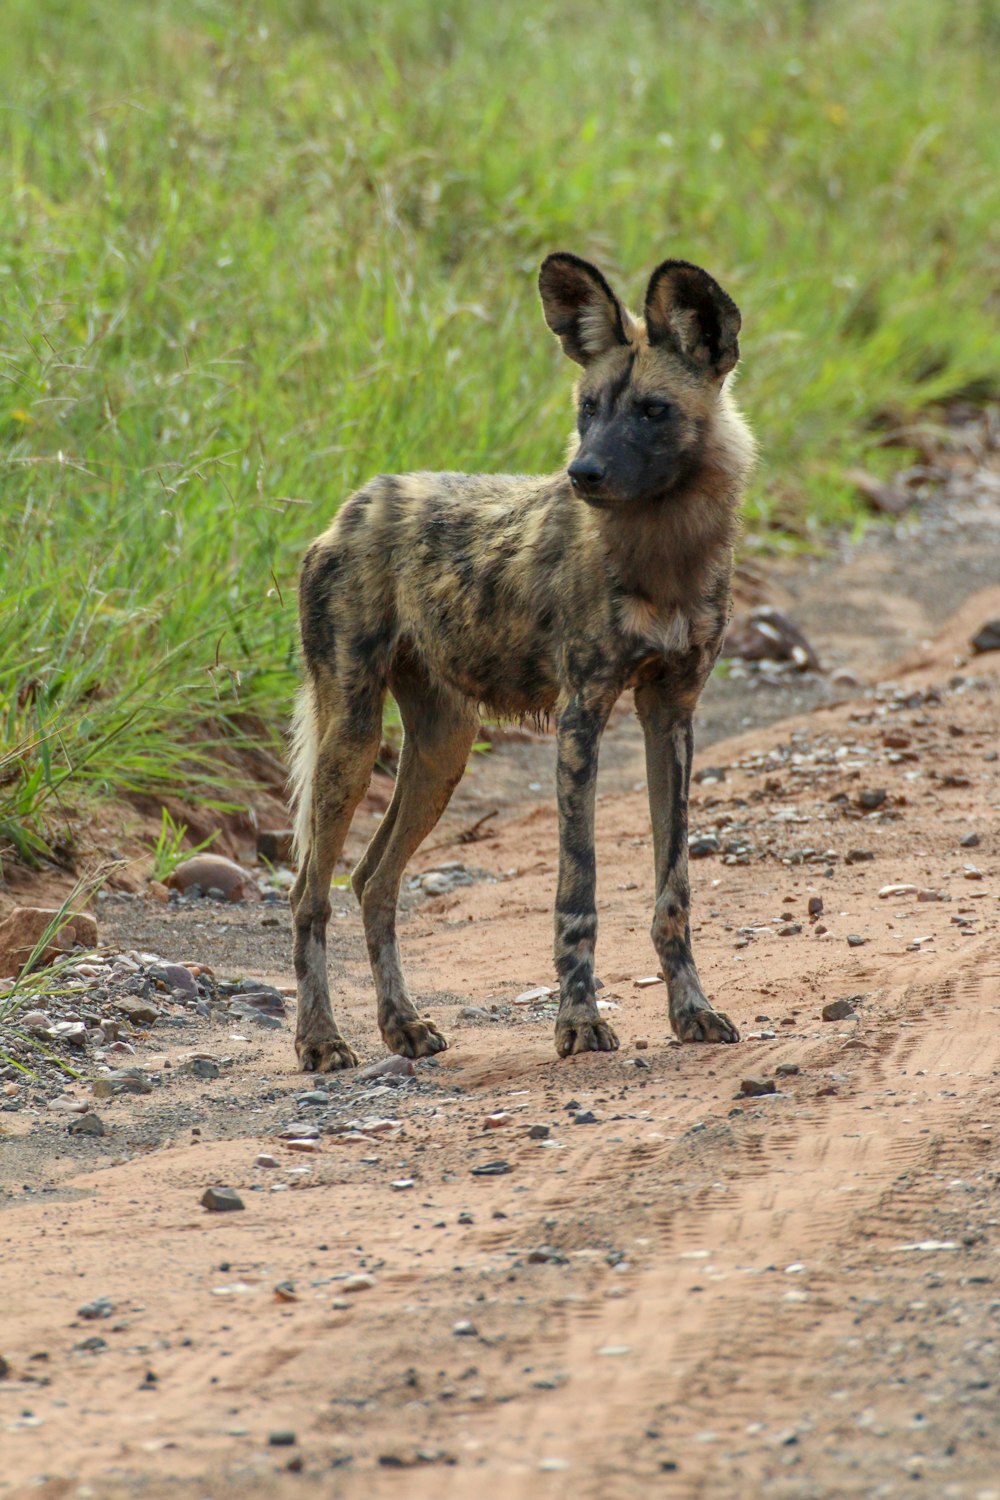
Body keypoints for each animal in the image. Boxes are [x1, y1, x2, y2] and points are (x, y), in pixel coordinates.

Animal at [284, 258, 755, 1074]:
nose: (583, 473)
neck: (664, 547)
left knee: (373, 879)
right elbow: (578, 891)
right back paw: (321, 1040)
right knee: (310, 894)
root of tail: (351, 506)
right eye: (589, 407)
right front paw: (579, 1023)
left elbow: (674, 891)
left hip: (443, 749)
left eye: (653, 410)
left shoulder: (672, 714)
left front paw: (691, 1012)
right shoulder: (581, 718)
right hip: (352, 732)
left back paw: (402, 1026)